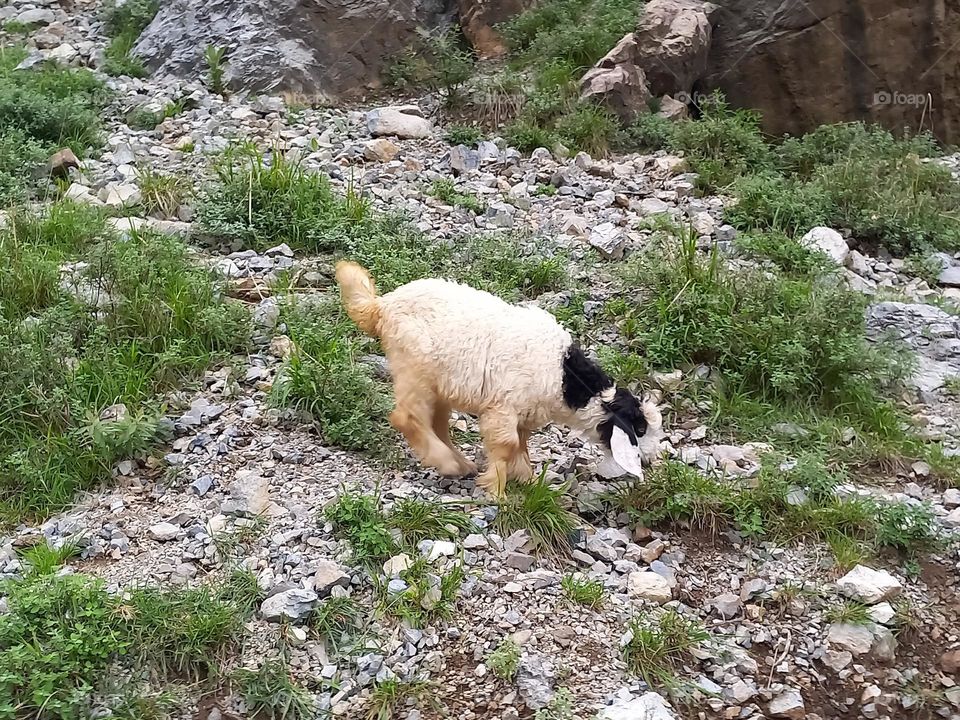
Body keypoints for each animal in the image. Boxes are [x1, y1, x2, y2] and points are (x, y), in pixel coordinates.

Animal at [335, 260, 664, 496]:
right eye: (640, 428)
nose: (648, 461)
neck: (564, 378)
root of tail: (382, 307)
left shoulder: (524, 415)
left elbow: (521, 445)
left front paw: (528, 481)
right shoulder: (503, 407)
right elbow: (506, 445)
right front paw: (498, 492)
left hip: (440, 385)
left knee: (436, 423)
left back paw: (460, 463)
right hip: (415, 371)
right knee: (407, 417)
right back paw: (447, 463)